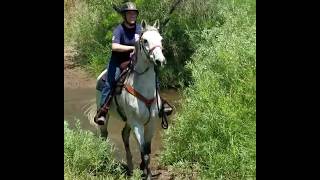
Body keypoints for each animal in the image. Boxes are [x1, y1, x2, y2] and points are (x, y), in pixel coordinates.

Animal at [87, 19, 168, 180]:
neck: (144, 90)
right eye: (145, 40)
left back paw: (130, 166)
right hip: (106, 116)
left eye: (161, 39)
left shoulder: (151, 123)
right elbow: (144, 151)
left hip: (128, 120)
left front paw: (144, 169)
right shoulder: (137, 124)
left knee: (124, 135)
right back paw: (104, 159)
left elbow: (147, 149)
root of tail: (101, 75)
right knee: (104, 135)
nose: (160, 61)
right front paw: (147, 174)